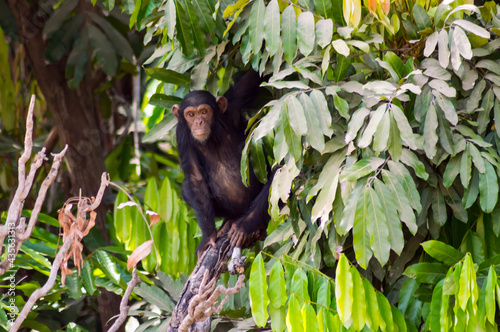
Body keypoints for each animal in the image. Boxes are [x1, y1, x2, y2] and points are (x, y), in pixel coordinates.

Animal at [172, 69, 274, 256]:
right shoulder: (181, 135)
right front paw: (208, 237)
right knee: (187, 190)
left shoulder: (233, 104)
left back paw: (244, 225)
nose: (198, 122)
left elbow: (251, 78)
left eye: (204, 112)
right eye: (191, 114)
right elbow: (196, 179)